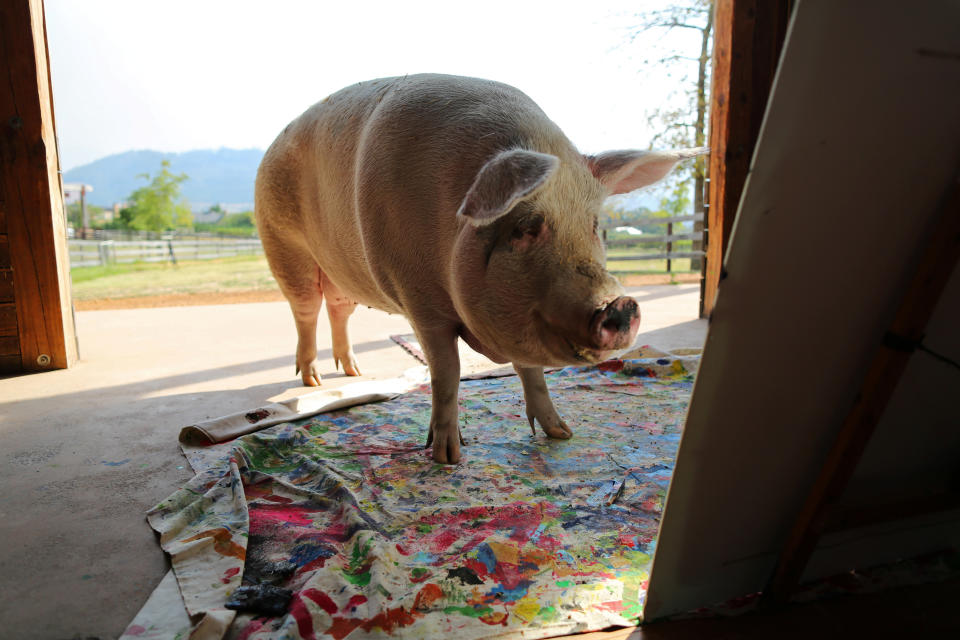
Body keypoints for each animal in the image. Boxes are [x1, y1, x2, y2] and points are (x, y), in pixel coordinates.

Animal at [255, 74, 704, 464]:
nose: (620, 304)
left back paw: (352, 371)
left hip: (343, 278)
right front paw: (447, 458)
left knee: (338, 310)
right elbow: (446, 373)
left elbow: (532, 371)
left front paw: (562, 434)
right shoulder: (419, 301)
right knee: (306, 311)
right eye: (525, 227)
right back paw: (313, 381)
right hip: (282, 244)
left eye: (594, 225)